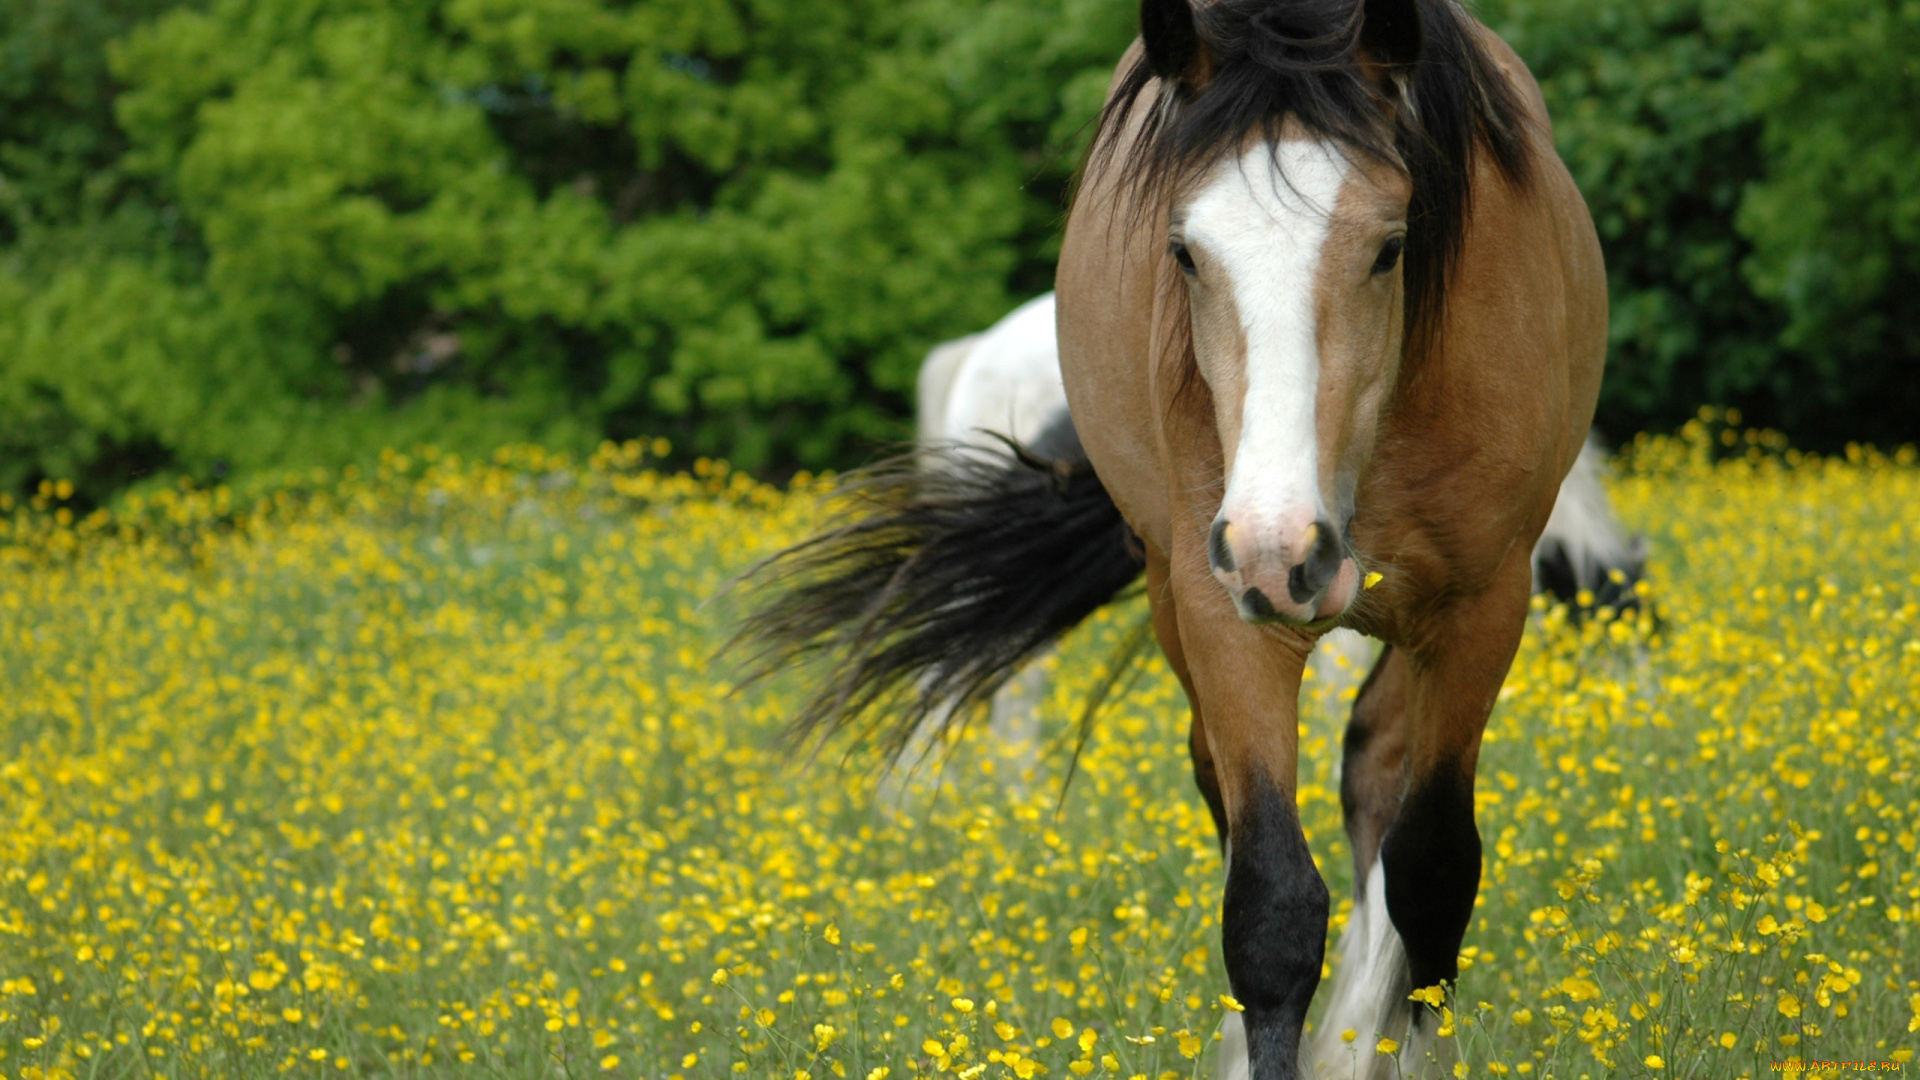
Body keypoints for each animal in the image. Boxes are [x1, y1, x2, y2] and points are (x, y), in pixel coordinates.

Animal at [733, 0, 1605, 1068]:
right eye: (1185, 251)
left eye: (1390, 247)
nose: (1283, 548)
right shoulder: (1224, 608)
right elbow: (1269, 906)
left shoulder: (1481, 607)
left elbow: (1432, 874)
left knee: (1377, 772)